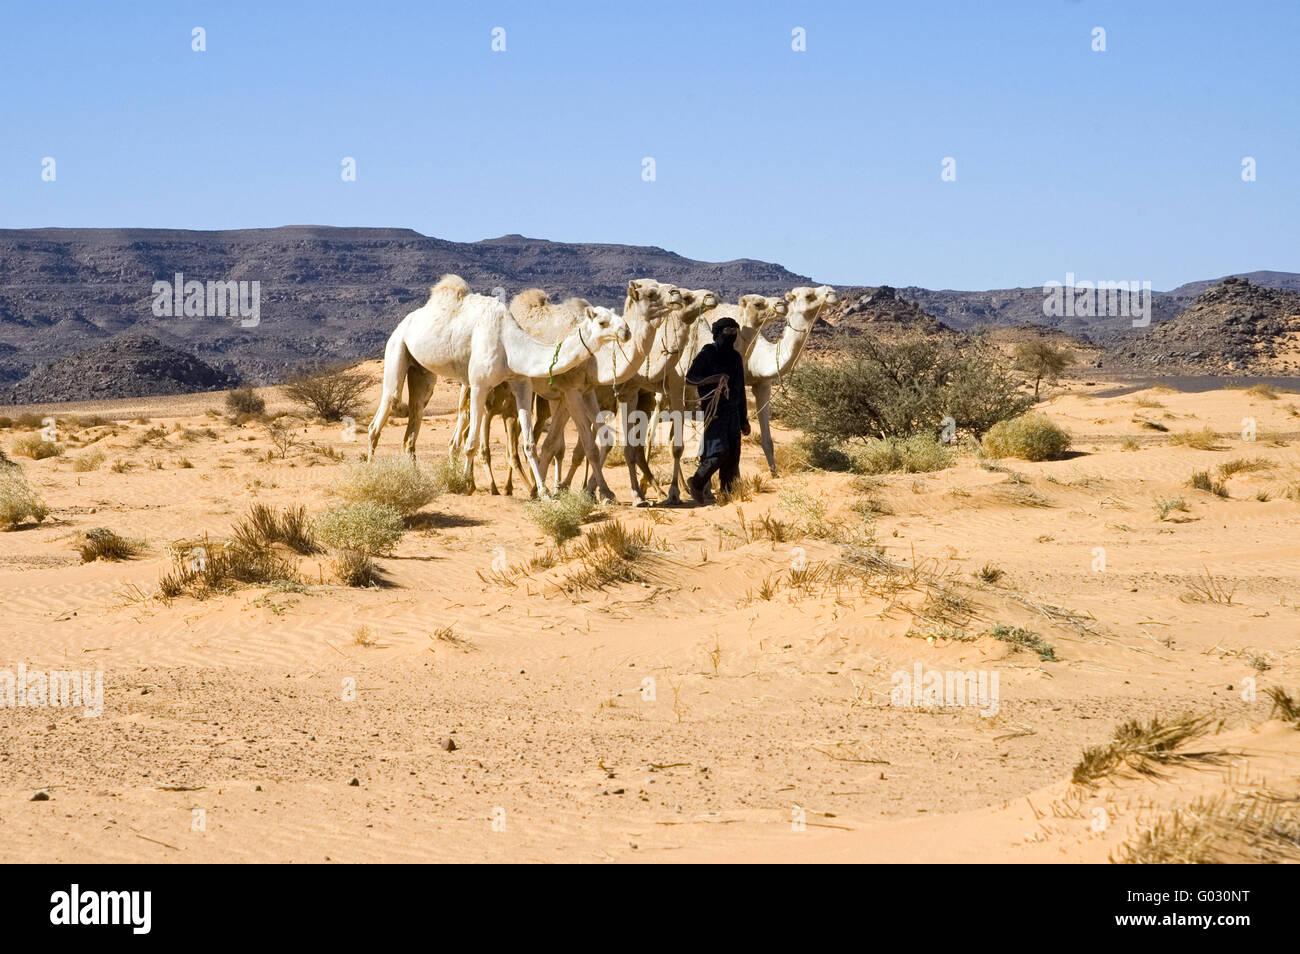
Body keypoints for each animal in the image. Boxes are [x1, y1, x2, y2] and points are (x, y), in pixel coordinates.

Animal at [366, 270, 629, 488]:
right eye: (602, 321)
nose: (626, 330)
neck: (510, 343)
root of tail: (405, 322)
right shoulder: (479, 383)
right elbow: (472, 442)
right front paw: (467, 485)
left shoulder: (521, 384)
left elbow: (529, 444)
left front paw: (543, 491)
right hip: (397, 346)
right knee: (383, 411)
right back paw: (369, 472)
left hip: (422, 370)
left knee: (416, 414)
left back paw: (416, 478)